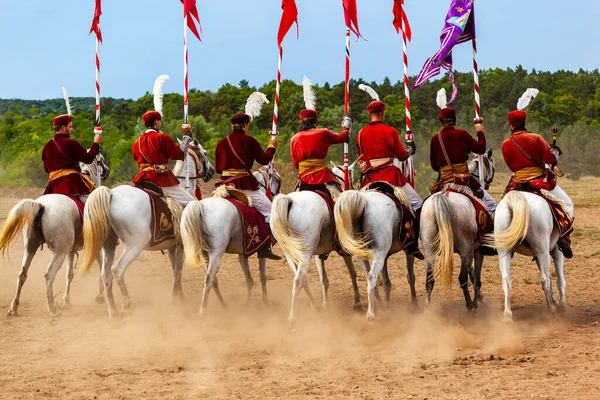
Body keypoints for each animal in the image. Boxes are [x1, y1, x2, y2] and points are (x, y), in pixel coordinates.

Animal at [0, 155, 110, 318]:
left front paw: (67, 300)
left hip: (30, 249)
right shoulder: (94, 246)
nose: (107, 170)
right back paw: (52, 308)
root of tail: (41, 205)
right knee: (48, 275)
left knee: (22, 274)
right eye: (101, 159)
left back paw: (14, 307)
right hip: (59, 253)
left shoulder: (71, 251)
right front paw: (101, 296)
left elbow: (69, 275)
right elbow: (101, 268)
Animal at [80, 142, 213, 318]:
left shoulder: (172, 247)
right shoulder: (182, 246)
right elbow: (177, 271)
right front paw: (174, 300)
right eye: (204, 153)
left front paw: (180, 297)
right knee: (117, 269)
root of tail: (111, 194)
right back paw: (126, 303)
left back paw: (113, 310)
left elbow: (175, 270)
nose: (212, 171)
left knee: (105, 273)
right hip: (135, 245)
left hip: (108, 244)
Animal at [272, 159, 366, 324]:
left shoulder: (318, 254)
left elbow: (324, 279)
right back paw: (292, 318)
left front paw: (326, 305)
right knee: (298, 280)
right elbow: (353, 273)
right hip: (304, 253)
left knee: (303, 280)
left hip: (291, 254)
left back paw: (315, 308)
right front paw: (357, 302)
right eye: (352, 174)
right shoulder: (346, 248)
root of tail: (288, 200)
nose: (355, 185)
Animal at [418, 150, 496, 310]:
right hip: (466, 248)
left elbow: (473, 275)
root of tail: (444, 197)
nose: (488, 184)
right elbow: (476, 277)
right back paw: (470, 305)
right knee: (462, 278)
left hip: (429, 248)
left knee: (429, 280)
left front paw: (479, 299)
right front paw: (478, 300)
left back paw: (427, 309)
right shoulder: (476, 250)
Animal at [488, 189, 568, 320]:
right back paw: (552, 309)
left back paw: (508, 314)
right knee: (544, 279)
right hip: (543, 251)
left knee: (506, 279)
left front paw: (554, 299)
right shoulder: (556, 251)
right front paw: (561, 304)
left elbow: (551, 278)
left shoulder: (538, 256)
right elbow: (559, 280)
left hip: (504, 251)